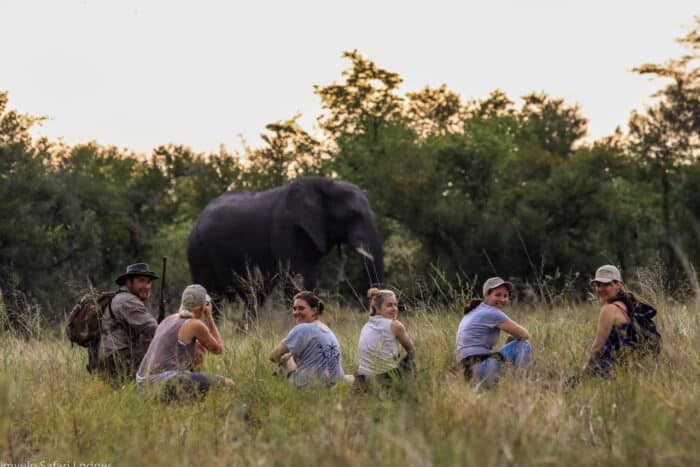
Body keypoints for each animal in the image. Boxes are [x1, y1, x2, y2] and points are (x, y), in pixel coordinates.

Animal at [186, 176, 382, 318]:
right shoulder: (288, 228)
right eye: (352, 215)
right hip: (198, 251)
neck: (325, 184)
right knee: (212, 295)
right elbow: (299, 280)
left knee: (254, 296)